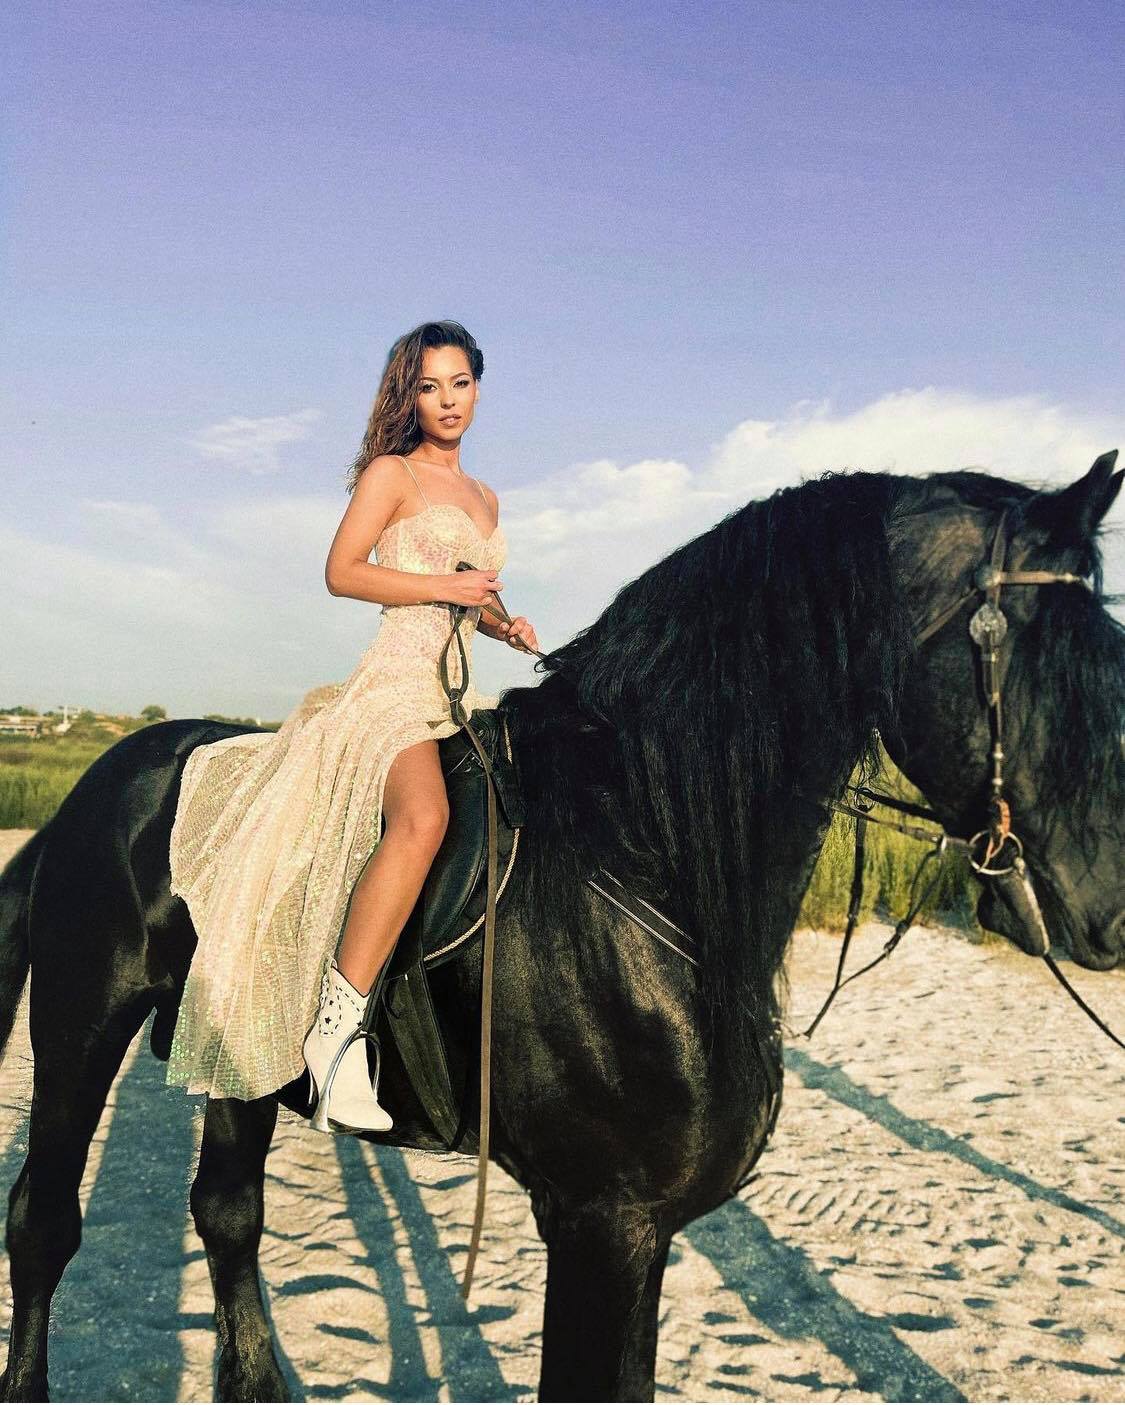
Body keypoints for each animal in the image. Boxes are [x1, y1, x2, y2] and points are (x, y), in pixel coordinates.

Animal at [0, 453, 1121, 1402]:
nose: (1106, 909)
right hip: (82, 1026)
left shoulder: (643, 1232)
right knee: (43, 1223)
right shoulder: (600, 1221)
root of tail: (101, 784)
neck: (640, 848)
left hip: (235, 1055)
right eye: (1020, 650)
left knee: (227, 1216)